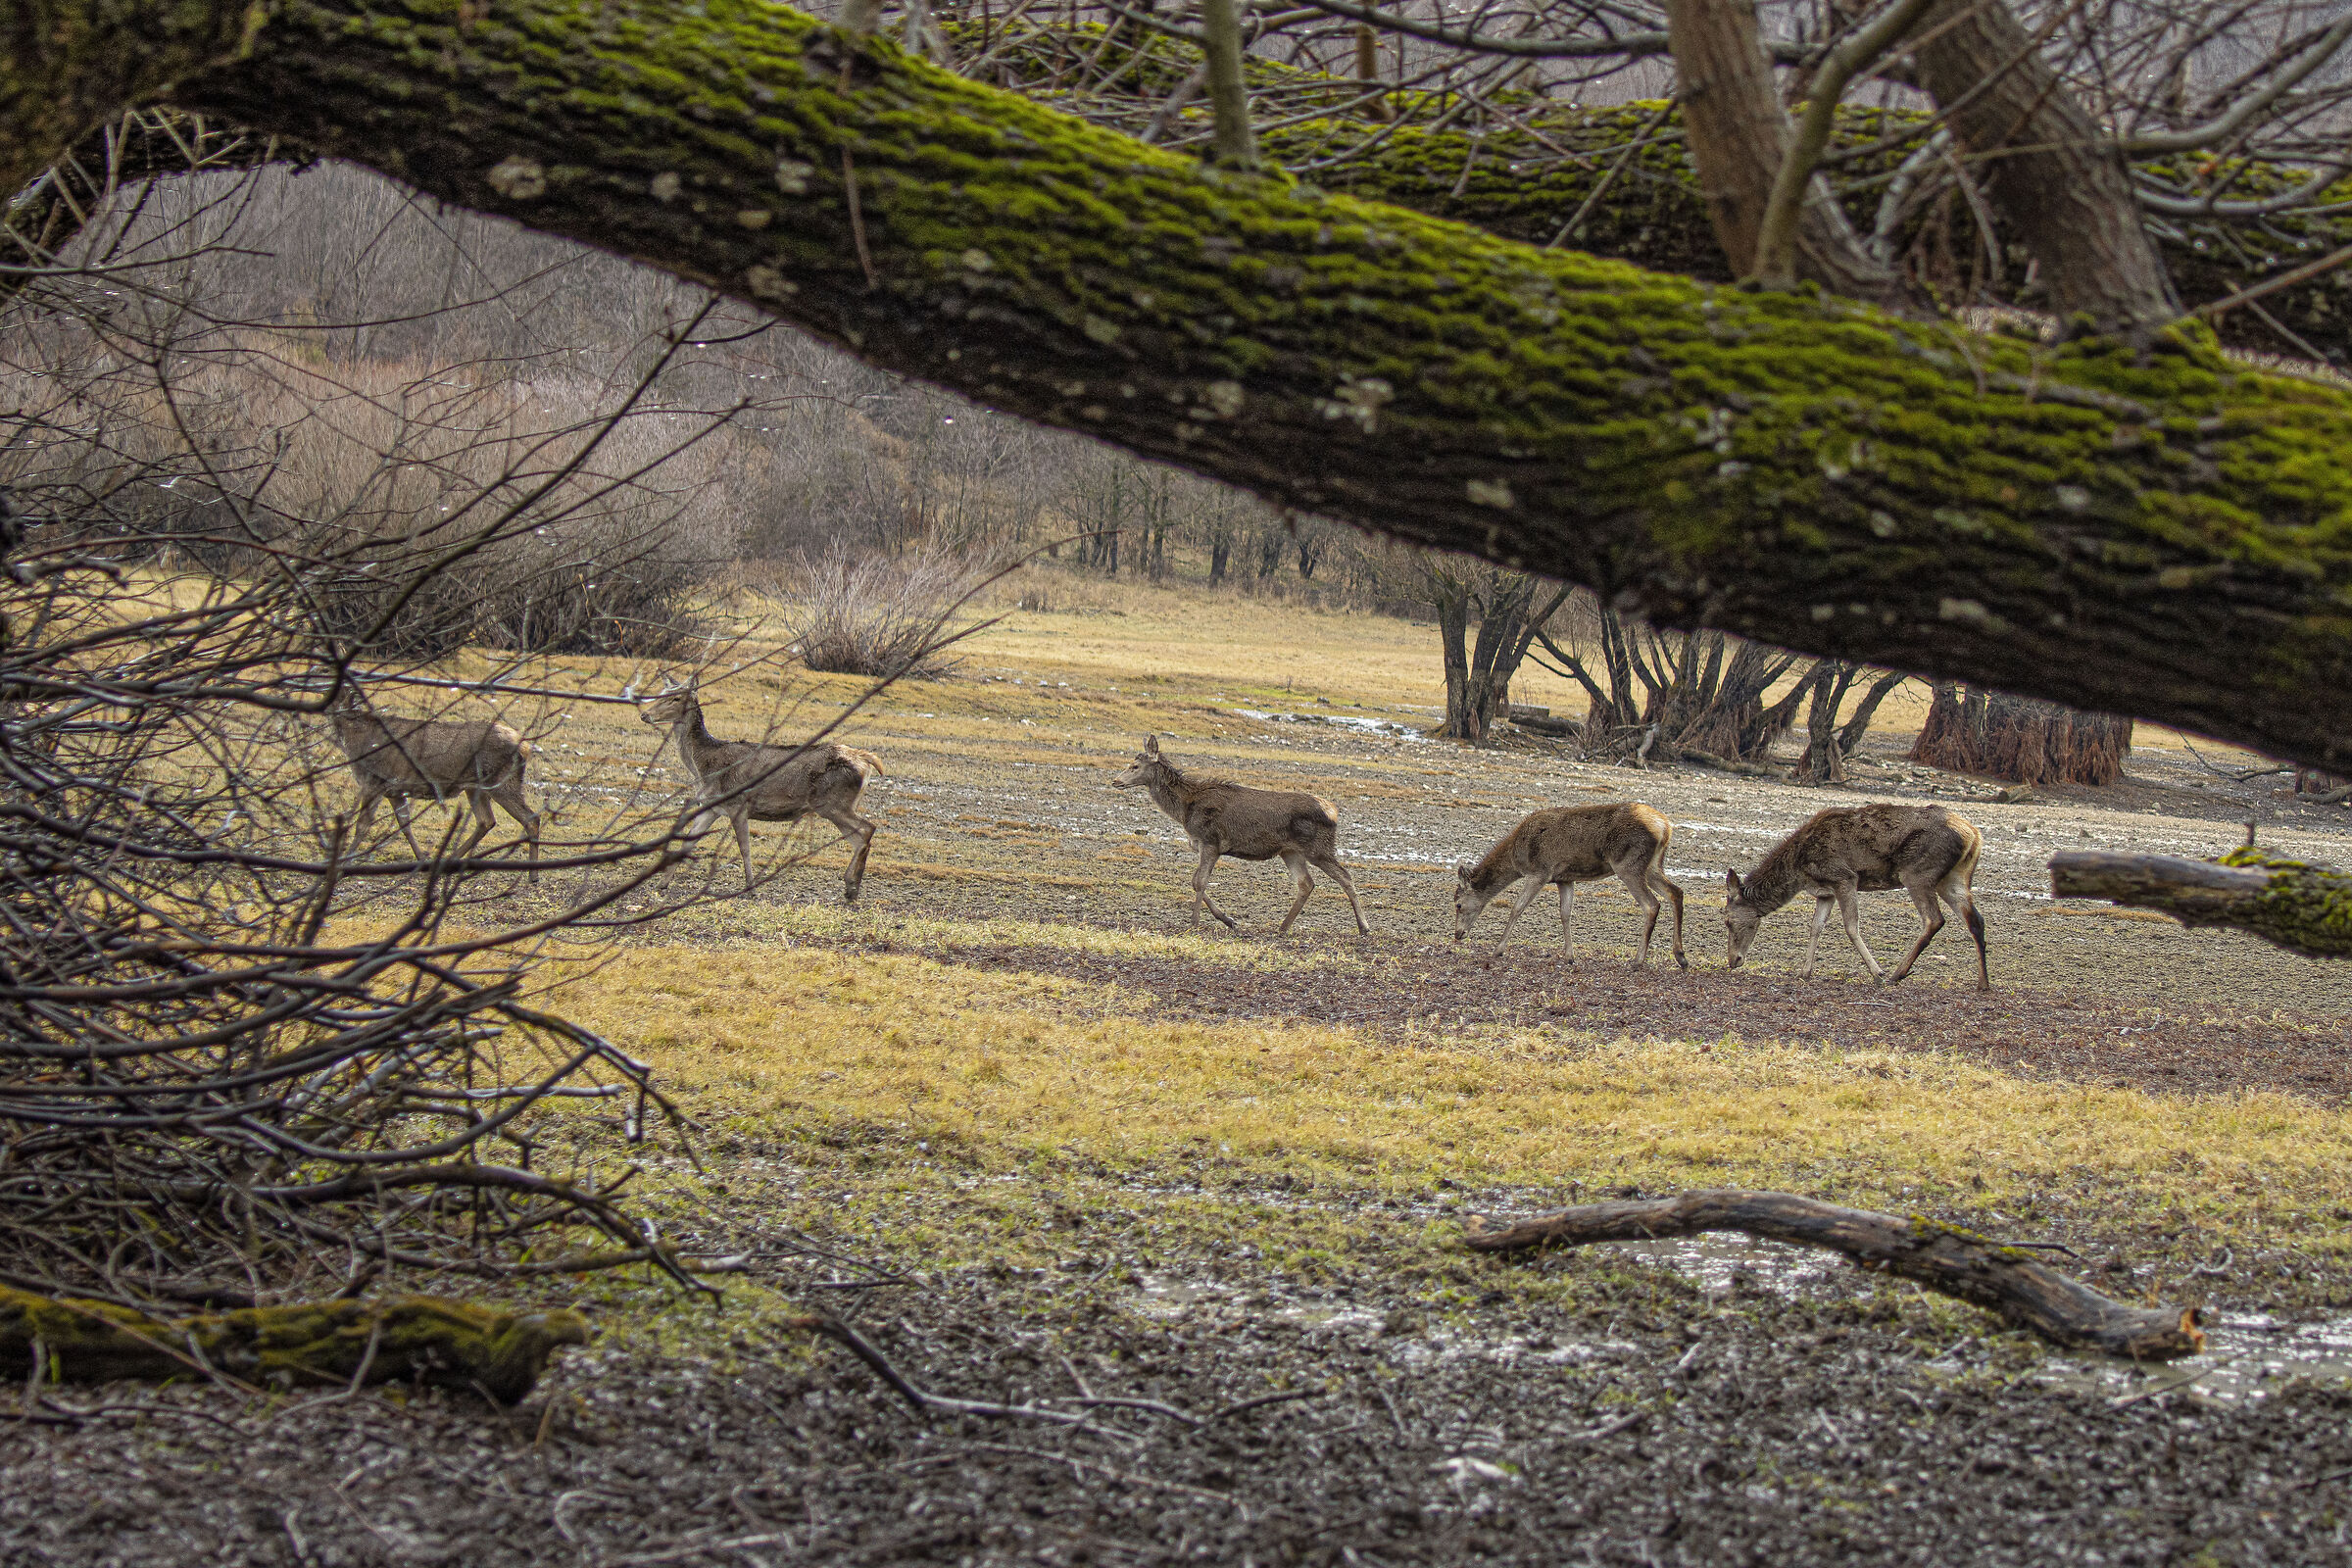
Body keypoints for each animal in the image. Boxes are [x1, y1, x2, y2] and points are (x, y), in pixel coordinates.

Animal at [329, 689, 540, 879]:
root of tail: (525, 746)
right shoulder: (395, 791)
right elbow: (405, 825)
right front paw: (421, 859)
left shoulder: (374, 781)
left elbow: (362, 826)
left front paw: (342, 867)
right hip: (474, 787)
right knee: (486, 820)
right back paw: (450, 859)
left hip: (501, 782)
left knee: (530, 818)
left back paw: (533, 874)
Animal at [637, 674, 882, 901]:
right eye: (661, 693)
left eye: (677, 697)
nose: (644, 715)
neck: (703, 768)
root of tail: (865, 760)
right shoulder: (711, 807)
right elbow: (687, 844)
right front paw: (661, 884)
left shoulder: (737, 804)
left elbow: (744, 848)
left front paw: (751, 888)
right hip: (835, 805)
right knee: (858, 836)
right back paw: (852, 888)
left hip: (832, 803)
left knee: (867, 828)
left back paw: (851, 885)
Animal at [1111, 734, 1370, 936]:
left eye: (1135, 766)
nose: (1115, 781)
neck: (1185, 809)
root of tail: (1333, 811)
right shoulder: (1203, 845)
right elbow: (1195, 881)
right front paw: (1230, 921)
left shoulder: (1210, 841)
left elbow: (1199, 881)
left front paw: (1194, 922)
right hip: (1290, 851)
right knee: (1306, 883)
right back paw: (1282, 927)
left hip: (1318, 848)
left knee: (1345, 877)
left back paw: (1364, 927)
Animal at [1453, 802, 1685, 967]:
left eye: (1458, 904)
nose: (1458, 934)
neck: (1516, 857)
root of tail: (1665, 826)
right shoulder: (1564, 878)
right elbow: (1565, 913)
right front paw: (1569, 956)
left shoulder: (1540, 872)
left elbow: (1517, 908)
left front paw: (1498, 950)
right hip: (1653, 865)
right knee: (1676, 892)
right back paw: (1681, 957)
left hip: (1628, 864)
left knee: (1651, 904)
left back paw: (1638, 960)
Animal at [1722, 802, 1988, 989]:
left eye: (1727, 921)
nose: (1733, 960)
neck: (1798, 869)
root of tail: (1974, 835)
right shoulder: (1825, 893)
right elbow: (1815, 927)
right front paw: (1805, 972)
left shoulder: (1845, 878)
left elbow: (1851, 926)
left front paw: (1877, 973)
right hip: (1953, 878)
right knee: (1976, 920)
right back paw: (1983, 983)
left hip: (1917, 873)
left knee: (1934, 920)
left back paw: (1896, 974)